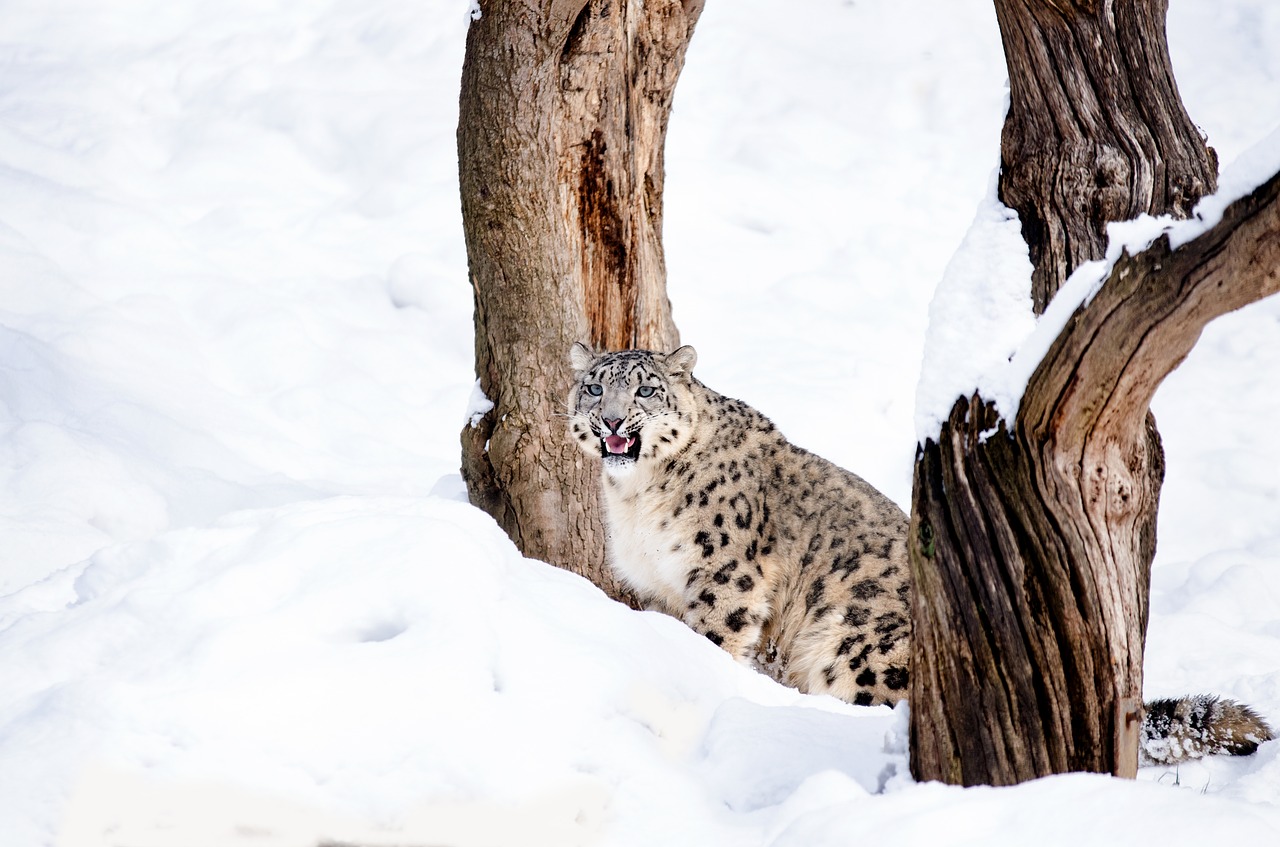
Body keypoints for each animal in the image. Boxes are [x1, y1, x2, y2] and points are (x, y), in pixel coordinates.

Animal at [568, 342, 1269, 762]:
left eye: (646, 391)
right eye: (595, 388)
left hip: (858, 644)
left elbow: (711, 639)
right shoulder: (657, 585)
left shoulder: (723, 577)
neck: (635, 500)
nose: (612, 420)